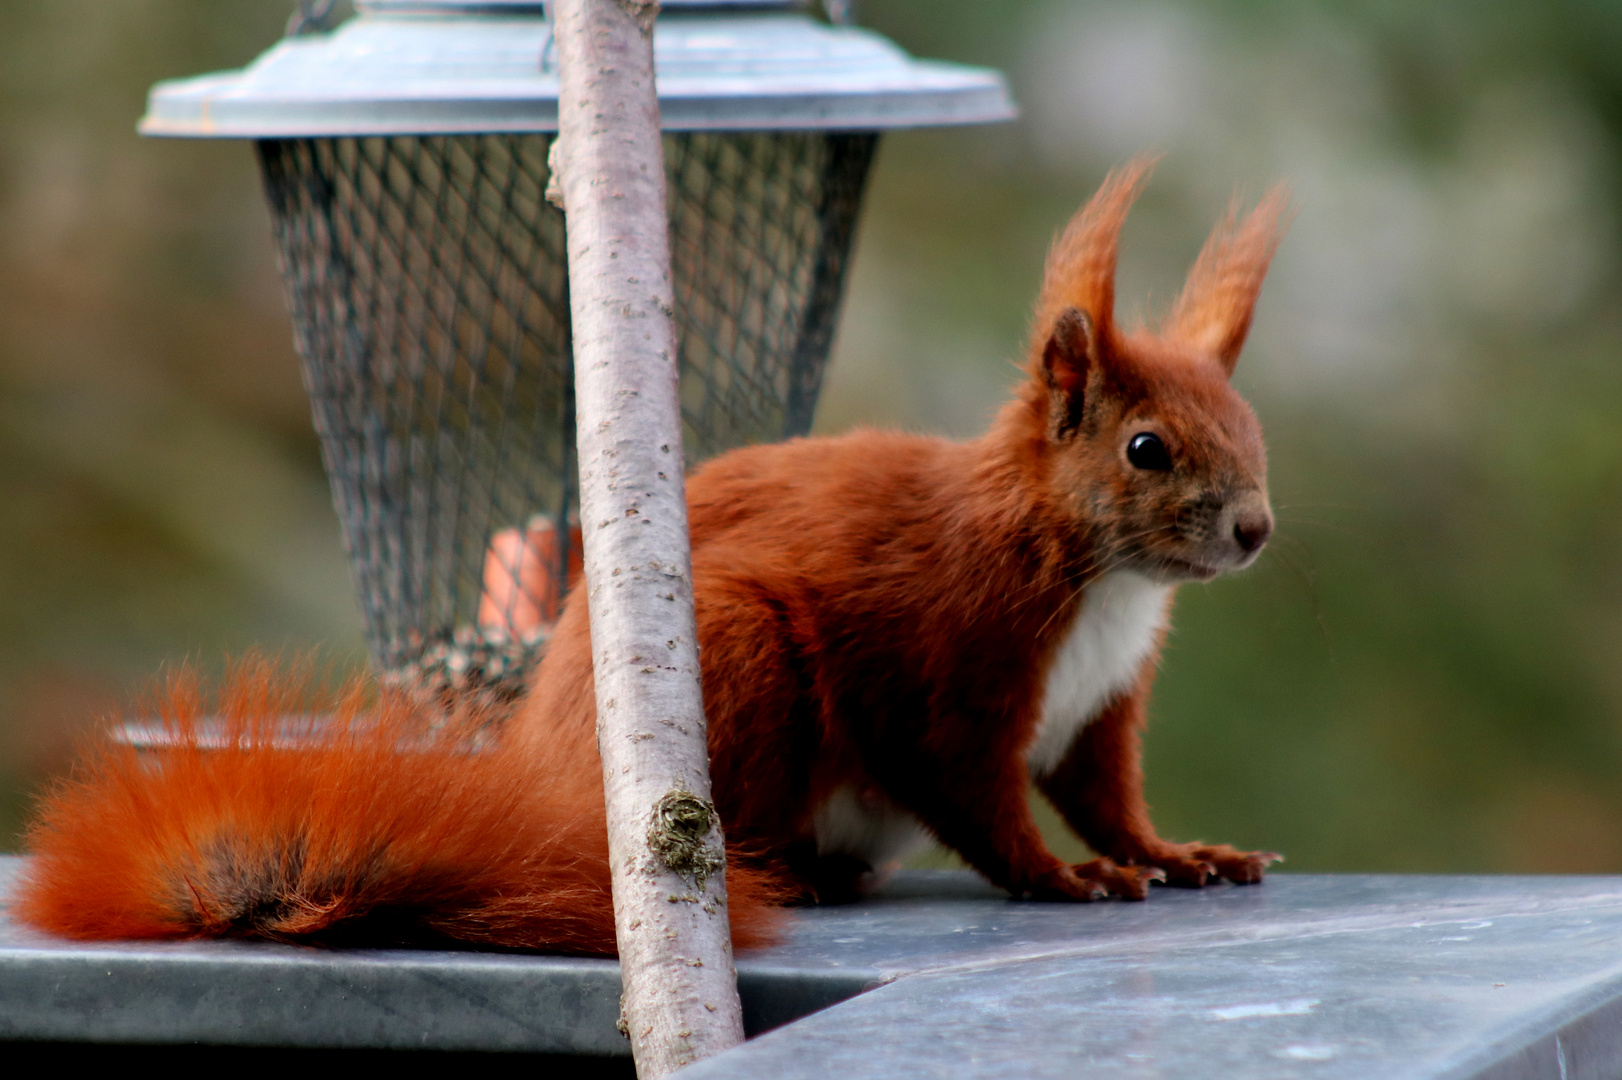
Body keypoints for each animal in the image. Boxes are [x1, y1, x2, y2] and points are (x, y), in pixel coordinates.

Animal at [12, 159, 1284, 953]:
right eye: (1144, 447)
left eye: (1248, 424)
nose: (1254, 528)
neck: (1099, 580)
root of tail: (539, 790)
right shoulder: (953, 661)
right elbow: (975, 794)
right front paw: (1064, 878)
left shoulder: (1098, 701)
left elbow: (1103, 794)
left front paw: (1174, 851)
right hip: (740, 658)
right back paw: (796, 874)